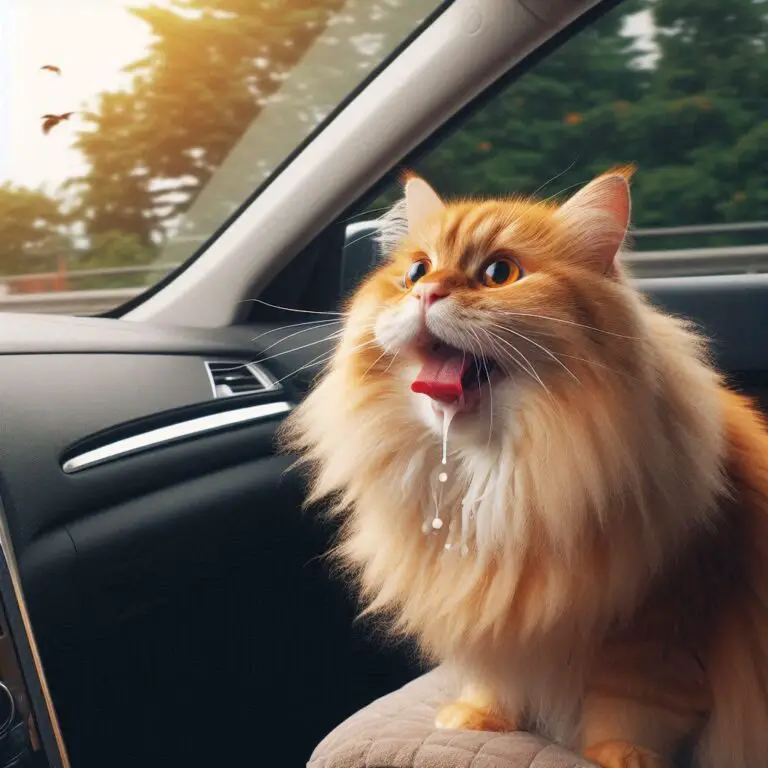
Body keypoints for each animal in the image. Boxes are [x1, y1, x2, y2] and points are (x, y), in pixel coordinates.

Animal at [280, 170, 768, 768]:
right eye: (416, 271)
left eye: (498, 274)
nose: (426, 292)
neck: (491, 475)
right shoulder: (496, 625)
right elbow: (496, 681)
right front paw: (478, 718)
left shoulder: (662, 628)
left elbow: (630, 714)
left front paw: (616, 759)